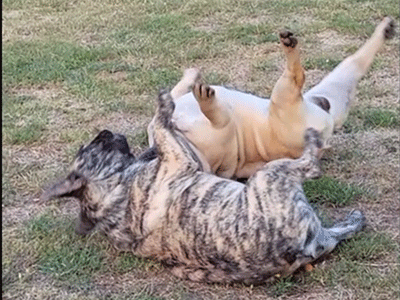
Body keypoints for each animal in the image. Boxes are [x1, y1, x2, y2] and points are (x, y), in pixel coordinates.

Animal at [40, 91, 366, 284]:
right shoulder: (180, 159)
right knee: (310, 165)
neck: (110, 189)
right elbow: (163, 130)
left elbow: (156, 141)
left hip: (315, 231)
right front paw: (164, 106)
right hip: (271, 175)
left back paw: (354, 219)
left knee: (338, 232)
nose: (104, 131)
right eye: (93, 146)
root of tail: (296, 251)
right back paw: (313, 144)